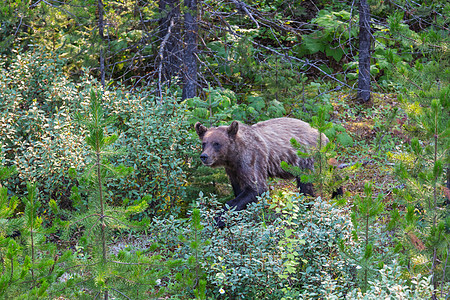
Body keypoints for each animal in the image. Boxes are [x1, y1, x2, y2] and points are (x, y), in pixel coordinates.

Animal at [196, 117, 330, 227]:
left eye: (216, 143)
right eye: (204, 143)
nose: (204, 156)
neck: (233, 156)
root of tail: (323, 135)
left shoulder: (252, 159)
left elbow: (256, 188)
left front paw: (219, 218)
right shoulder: (233, 170)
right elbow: (239, 189)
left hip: (307, 158)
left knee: (307, 185)